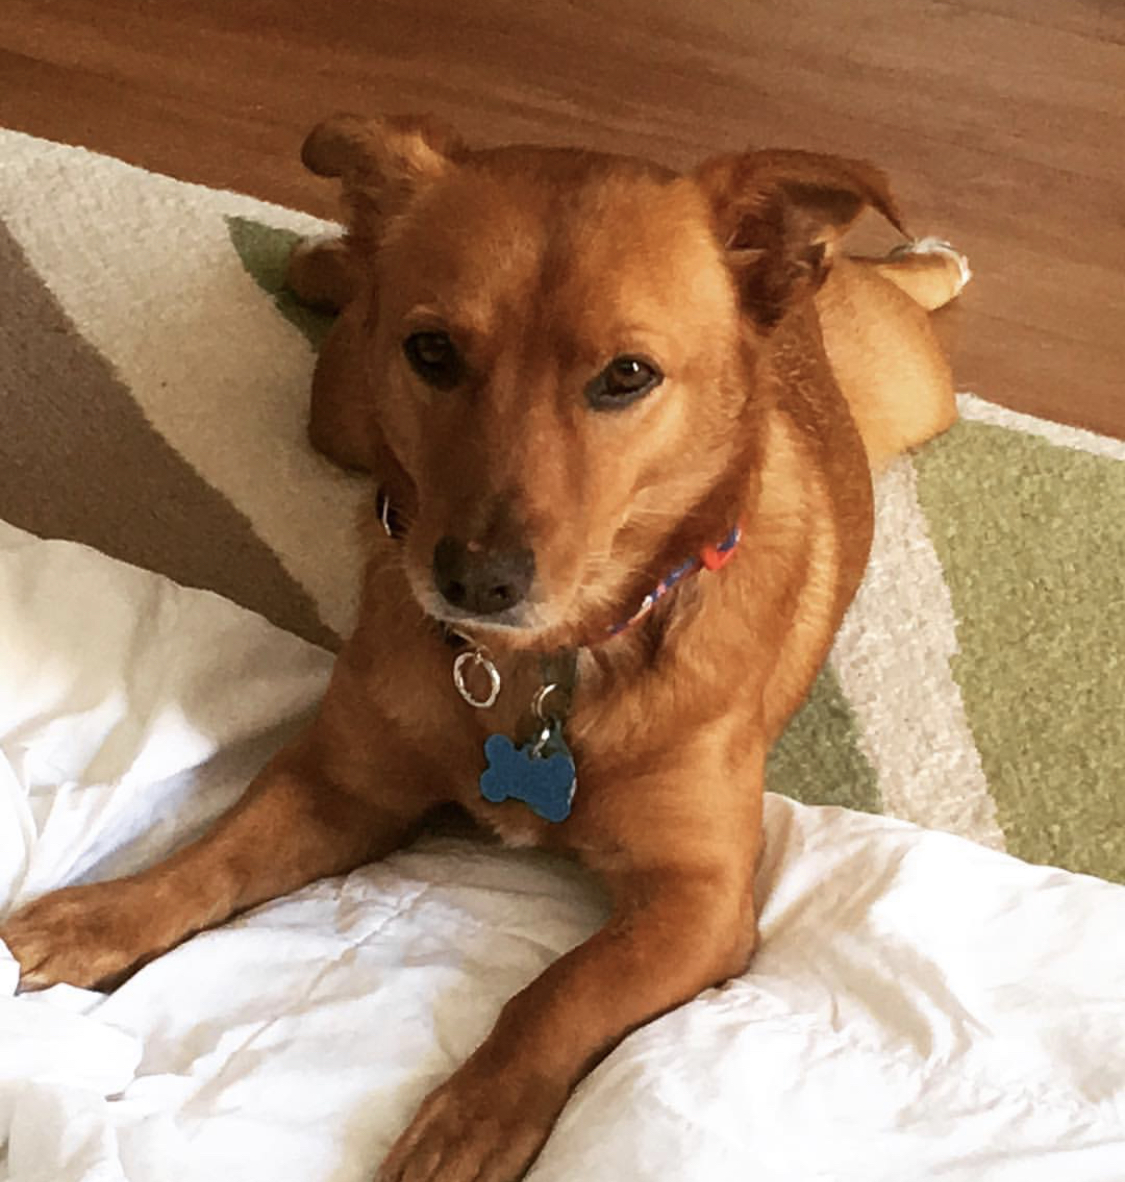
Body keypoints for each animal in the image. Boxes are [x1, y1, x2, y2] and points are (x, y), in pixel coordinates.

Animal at [2, 117, 969, 1182]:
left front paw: (470, 1117)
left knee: (911, 294)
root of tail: (815, 276)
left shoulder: (701, 899)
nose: (476, 580)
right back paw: (332, 256)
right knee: (346, 294)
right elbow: (214, 857)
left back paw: (933, 261)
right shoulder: (338, 786)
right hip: (340, 407)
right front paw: (104, 915)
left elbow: (558, 993)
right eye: (432, 350)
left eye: (626, 375)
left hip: (918, 388)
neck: (540, 669)